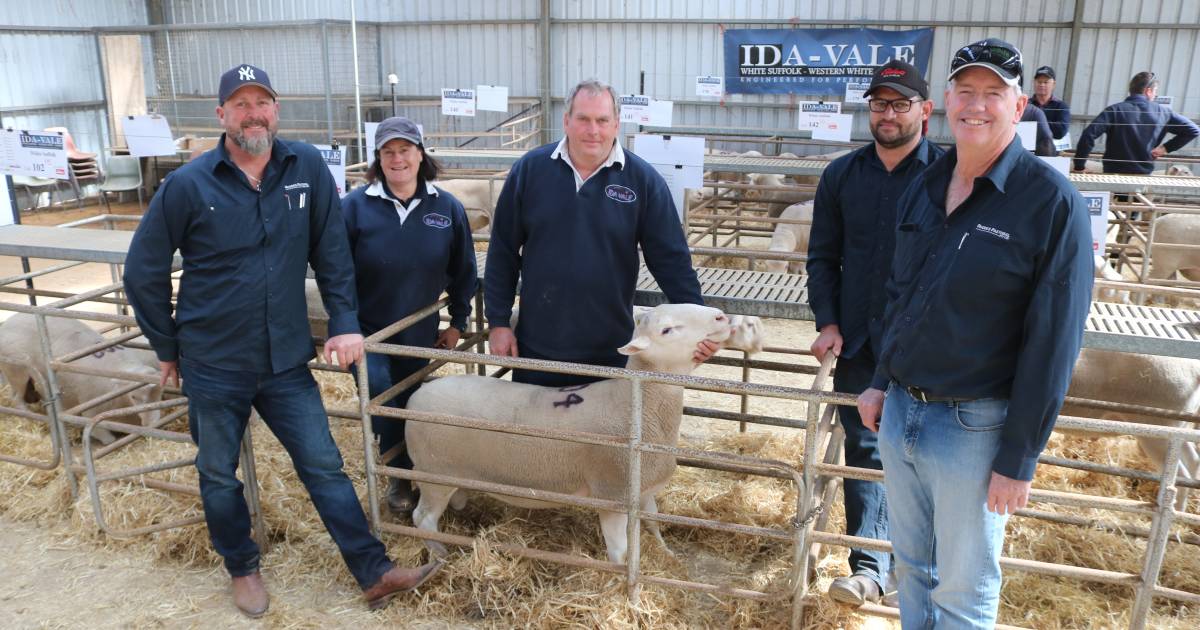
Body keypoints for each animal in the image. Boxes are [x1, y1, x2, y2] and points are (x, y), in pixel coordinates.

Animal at [0, 312, 162, 441]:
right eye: (134, 396)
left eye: (159, 395)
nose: (151, 424)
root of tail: (7, 322)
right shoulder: (91, 409)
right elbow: (104, 436)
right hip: (17, 371)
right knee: (16, 399)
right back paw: (30, 418)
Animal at [403, 303, 758, 559]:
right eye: (667, 330)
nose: (721, 316)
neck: (634, 406)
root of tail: (418, 393)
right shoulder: (613, 494)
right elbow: (620, 551)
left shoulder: (644, 490)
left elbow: (654, 523)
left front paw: (666, 554)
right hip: (434, 472)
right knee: (422, 518)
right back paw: (440, 552)